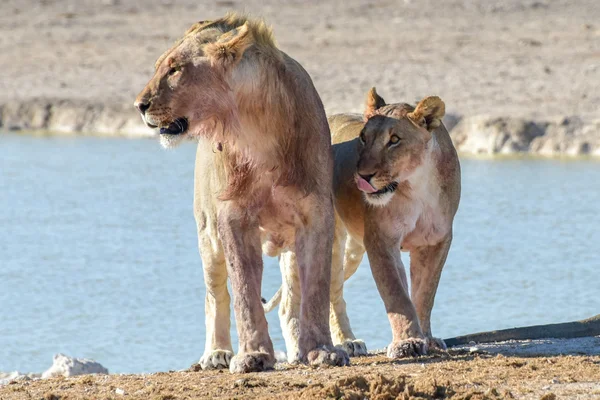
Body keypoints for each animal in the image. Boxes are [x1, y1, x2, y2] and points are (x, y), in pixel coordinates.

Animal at [131, 14, 346, 372]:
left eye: (175, 70)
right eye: (161, 66)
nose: (139, 105)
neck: (254, 129)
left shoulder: (316, 215)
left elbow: (316, 286)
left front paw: (322, 350)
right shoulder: (233, 218)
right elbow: (244, 291)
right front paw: (253, 355)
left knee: (290, 300)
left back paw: (299, 349)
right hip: (208, 235)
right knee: (215, 296)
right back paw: (217, 353)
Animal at [272, 87, 460, 360]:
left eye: (395, 140)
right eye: (362, 137)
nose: (362, 175)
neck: (417, 186)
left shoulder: (436, 241)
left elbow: (425, 294)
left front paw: (427, 337)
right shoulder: (381, 240)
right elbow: (397, 295)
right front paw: (408, 342)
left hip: (351, 251)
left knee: (333, 290)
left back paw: (347, 341)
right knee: (293, 301)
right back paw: (308, 347)